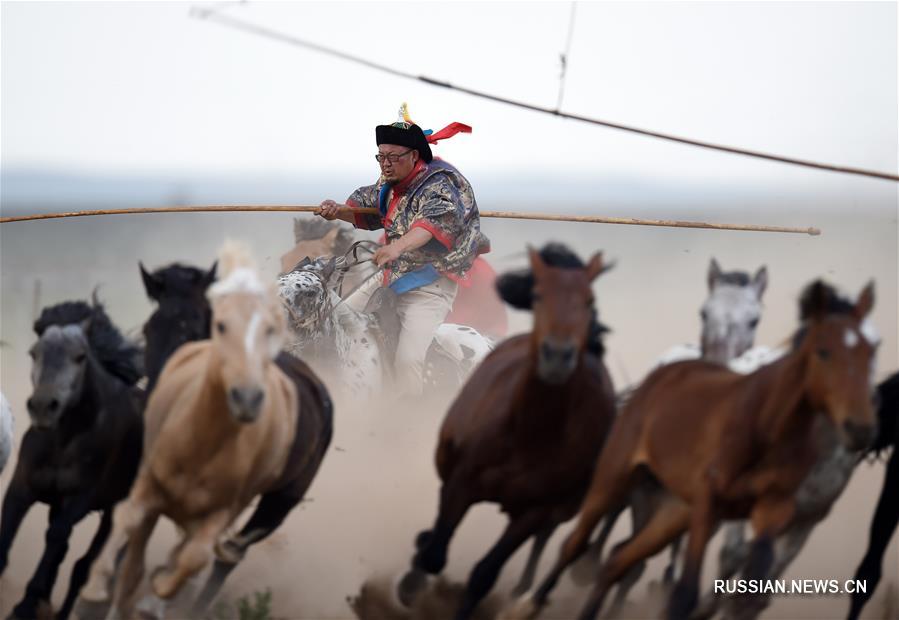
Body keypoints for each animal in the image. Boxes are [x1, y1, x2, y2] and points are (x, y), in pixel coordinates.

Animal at [0, 298, 143, 616]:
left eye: (80, 356)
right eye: (34, 353)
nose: (43, 406)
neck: (63, 441)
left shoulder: (79, 498)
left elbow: (56, 538)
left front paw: (25, 605)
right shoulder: (22, 485)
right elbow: (9, 525)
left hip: (112, 511)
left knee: (82, 567)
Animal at [398, 243, 624, 620]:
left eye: (590, 300)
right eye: (538, 295)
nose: (557, 354)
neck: (528, 433)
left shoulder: (534, 511)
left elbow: (484, 575)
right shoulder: (462, 482)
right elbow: (435, 553)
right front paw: (410, 583)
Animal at [512, 280, 880, 620]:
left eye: (874, 348)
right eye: (823, 350)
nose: (860, 427)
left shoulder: (795, 514)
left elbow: (754, 586)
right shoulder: (714, 503)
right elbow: (708, 576)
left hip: (673, 508)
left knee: (623, 556)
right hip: (623, 481)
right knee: (585, 540)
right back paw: (533, 597)